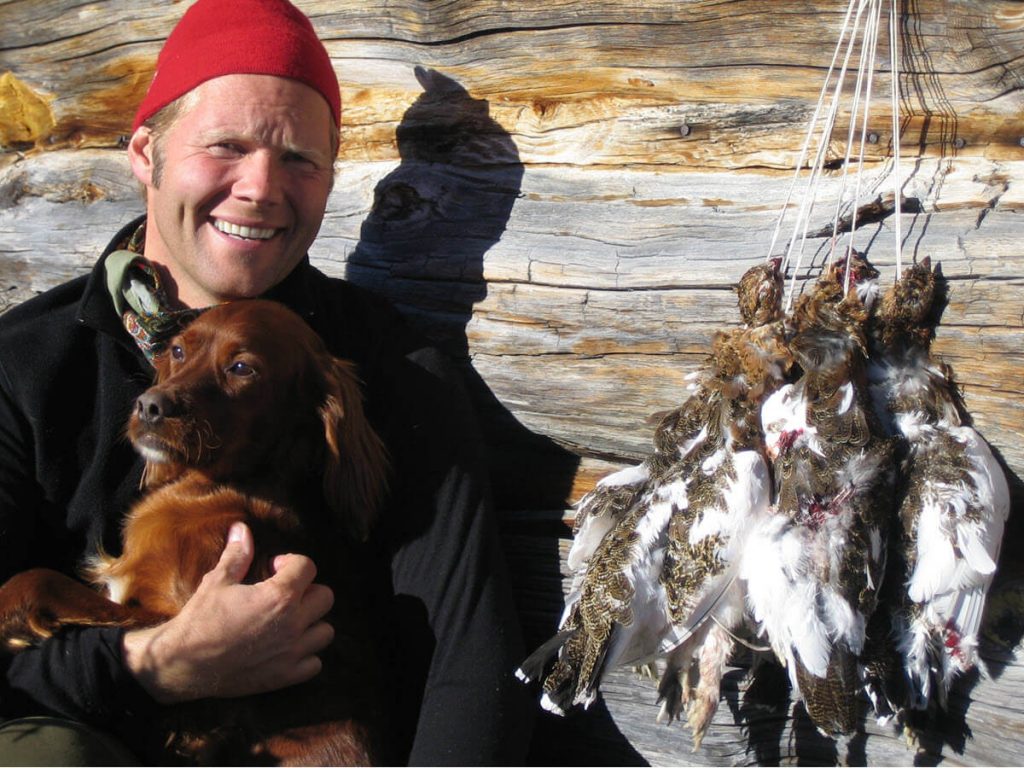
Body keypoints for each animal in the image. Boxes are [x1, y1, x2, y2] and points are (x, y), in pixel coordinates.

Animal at [0, 299, 389, 765]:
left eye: (241, 368)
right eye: (179, 351)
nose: (148, 406)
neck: (214, 488)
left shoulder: (184, 631)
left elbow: (50, 580)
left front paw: (10, 611)